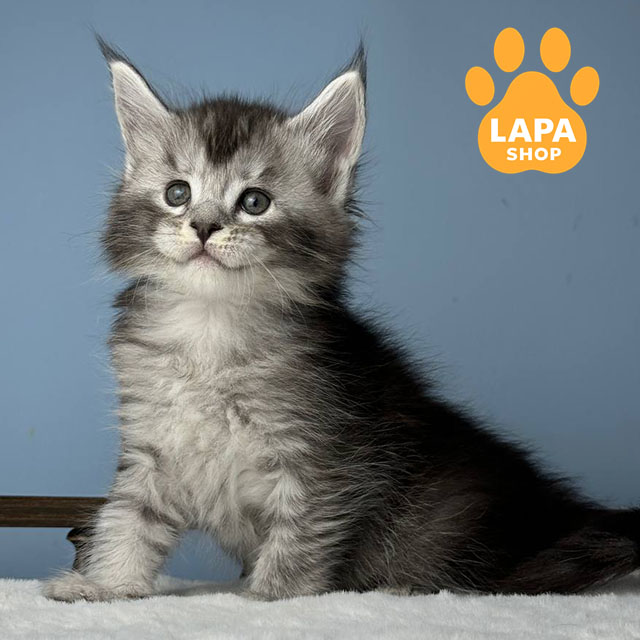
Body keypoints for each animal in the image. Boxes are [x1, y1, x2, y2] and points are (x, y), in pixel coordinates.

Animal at [44, 40, 639, 602]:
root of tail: (565, 516)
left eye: (255, 202)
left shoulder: (324, 460)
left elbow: (298, 539)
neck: (212, 326)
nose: (205, 227)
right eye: (177, 193)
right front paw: (106, 585)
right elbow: (127, 519)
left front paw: (267, 597)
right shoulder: (151, 448)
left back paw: (408, 586)